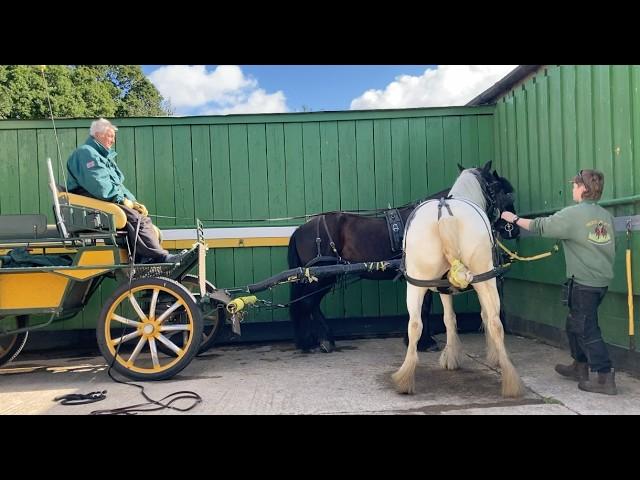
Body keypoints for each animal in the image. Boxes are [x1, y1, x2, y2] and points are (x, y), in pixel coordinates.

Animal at [390, 161, 524, 398]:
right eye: (502, 192)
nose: (513, 229)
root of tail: (445, 213)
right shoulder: (486, 281)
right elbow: (484, 316)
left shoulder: (444, 288)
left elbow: (449, 319)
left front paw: (451, 356)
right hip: (485, 279)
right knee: (495, 322)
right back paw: (509, 376)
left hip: (416, 282)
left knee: (414, 324)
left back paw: (405, 378)